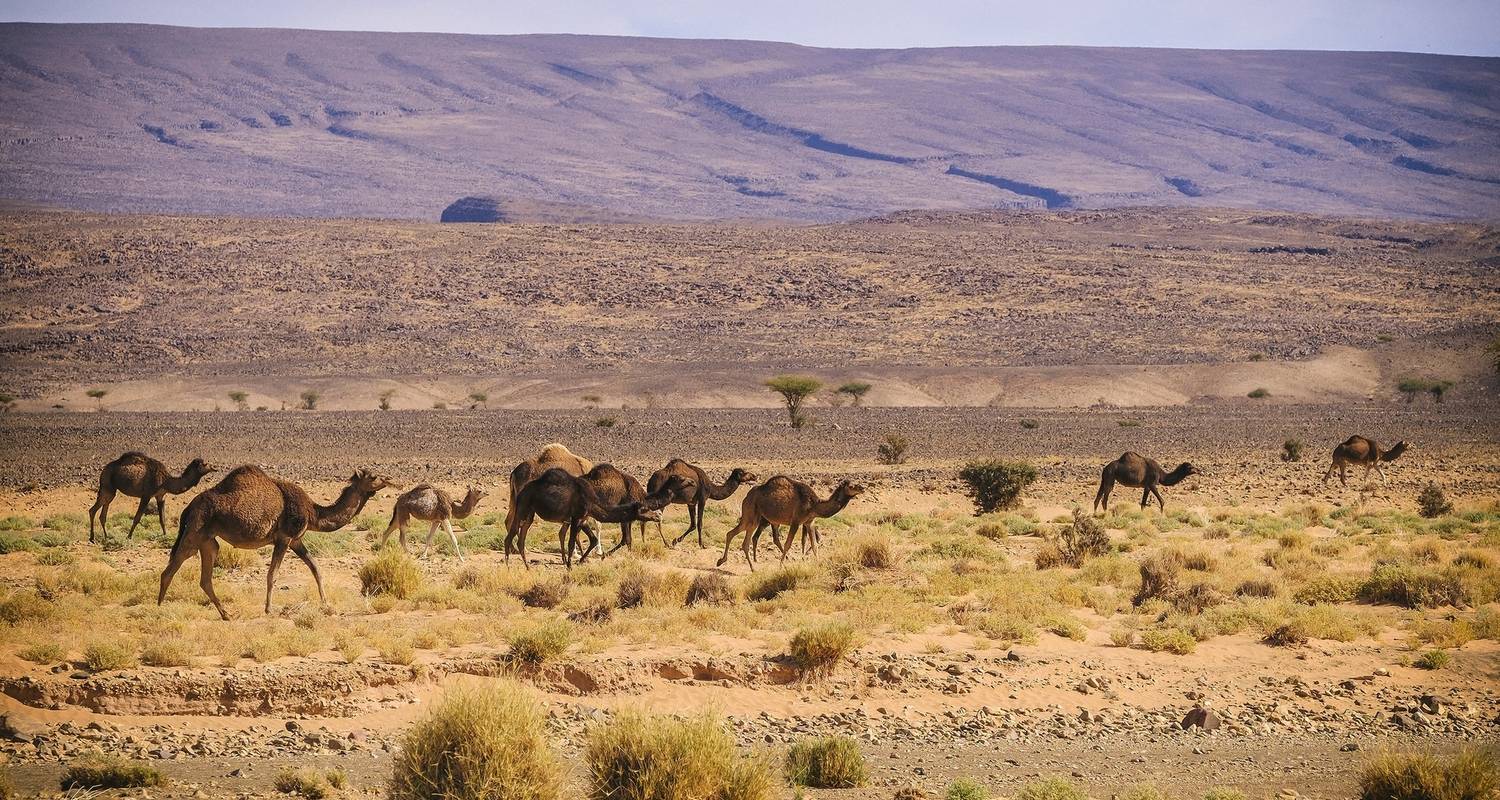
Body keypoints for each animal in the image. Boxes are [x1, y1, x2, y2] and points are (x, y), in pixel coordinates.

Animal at [87, 450, 216, 543]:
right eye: (205, 464)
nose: (214, 467)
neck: (166, 481)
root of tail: (104, 470)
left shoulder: (160, 496)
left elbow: (162, 519)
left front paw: (165, 536)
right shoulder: (146, 495)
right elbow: (137, 518)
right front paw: (129, 537)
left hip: (110, 491)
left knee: (103, 513)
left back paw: (106, 537)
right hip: (107, 485)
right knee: (93, 510)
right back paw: (92, 538)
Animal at [158, 462, 396, 618]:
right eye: (373, 476)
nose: (389, 479)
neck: (313, 512)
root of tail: (188, 507)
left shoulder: (296, 540)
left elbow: (316, 568)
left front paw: (326, 605)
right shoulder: (284, 537)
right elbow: (273, 575)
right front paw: (269, 609)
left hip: (208, 540)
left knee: (205, 578)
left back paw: (227, 614)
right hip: (195, 531)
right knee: (170, 569)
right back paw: (158, 609)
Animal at [717, 474, 870, 567]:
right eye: (851, 486)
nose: (862, 488)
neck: (814, 504)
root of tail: (746, 496)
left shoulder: (809, 522)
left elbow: (814, 545)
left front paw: (818, 562)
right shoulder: (796, 521)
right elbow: (788, 544)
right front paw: (781, 565)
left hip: (759, 518)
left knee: (732, 533)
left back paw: (721, 561)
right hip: (752, 515)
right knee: (744, 538)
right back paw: (750, 566)